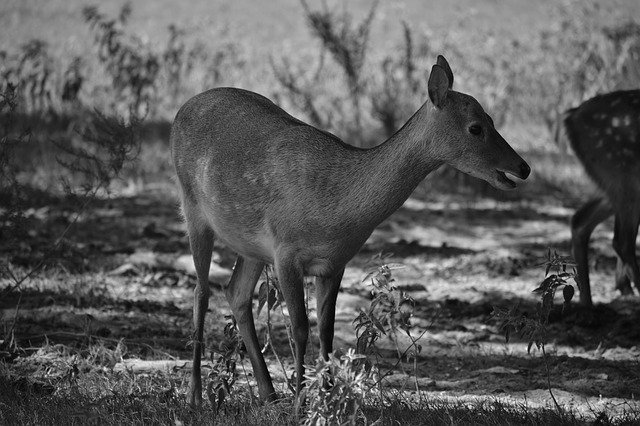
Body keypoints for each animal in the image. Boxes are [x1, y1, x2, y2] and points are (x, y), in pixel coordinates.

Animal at [170, 55, 528, 404]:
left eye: (492, 118)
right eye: (476, 127)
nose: (523, 168)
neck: (336, 212)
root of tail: (182, 108)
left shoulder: (335, 262)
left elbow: (326, 332)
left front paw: (324, 399)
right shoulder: (286, 250)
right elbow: (300, 328)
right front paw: (300, 404)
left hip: (250, 245)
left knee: (236, 293)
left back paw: (268, 395)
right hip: (192, 208)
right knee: (202, 292)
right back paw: (196, 397)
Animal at [564, 90, 640, 310]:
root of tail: (570, 118)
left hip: (612, 183)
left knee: (580, 221)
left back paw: (588, 305)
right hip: (624, 173)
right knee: (622, 241)